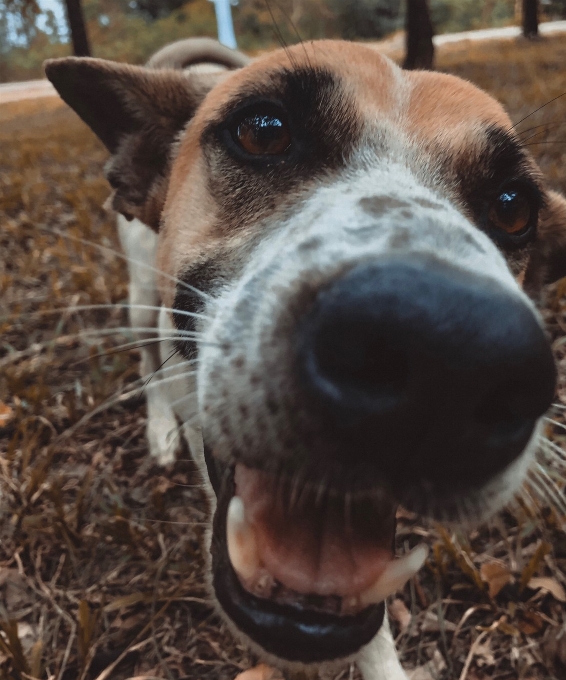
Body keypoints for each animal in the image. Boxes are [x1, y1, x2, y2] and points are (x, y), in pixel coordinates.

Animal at [44, 38, 566, 680]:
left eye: (514, 207)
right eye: (262, 132)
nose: (448, 358)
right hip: (142, 300)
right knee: (147, 365)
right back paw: (158, 429)